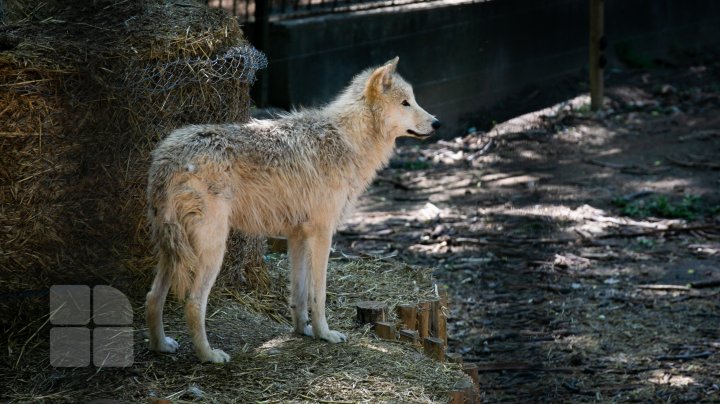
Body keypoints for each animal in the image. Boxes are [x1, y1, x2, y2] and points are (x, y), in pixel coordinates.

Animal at [145, 56, 438, 362]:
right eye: (405, 103)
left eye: (413, 100)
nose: (437, 123)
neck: (348, 141)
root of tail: (167, 157)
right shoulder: (322, 233)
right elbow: (318, 293)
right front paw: (325, 334)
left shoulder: (297, 234)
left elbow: (298, 293)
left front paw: (303, 331)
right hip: (213, 250)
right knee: (192, 302)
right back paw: (209, 356)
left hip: (172, 250)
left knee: (152, 297)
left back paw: (160, 345)